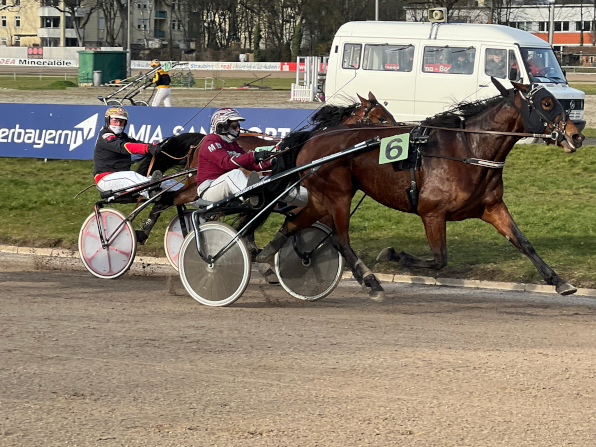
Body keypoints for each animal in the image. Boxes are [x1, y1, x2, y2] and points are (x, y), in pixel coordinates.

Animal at [255, 82, 584, 302]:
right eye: (546, 103)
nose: (576, 136)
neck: (469, 150)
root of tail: (312, 139)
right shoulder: (432, 213)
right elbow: (439, 260)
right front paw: (392, 254)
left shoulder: (492, 208)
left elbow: (524, 243)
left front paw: (559, 281)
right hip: (338, 194)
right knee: (340, 239)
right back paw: (370, 281)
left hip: (322, 197)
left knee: (294, 223)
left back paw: (265, 258)